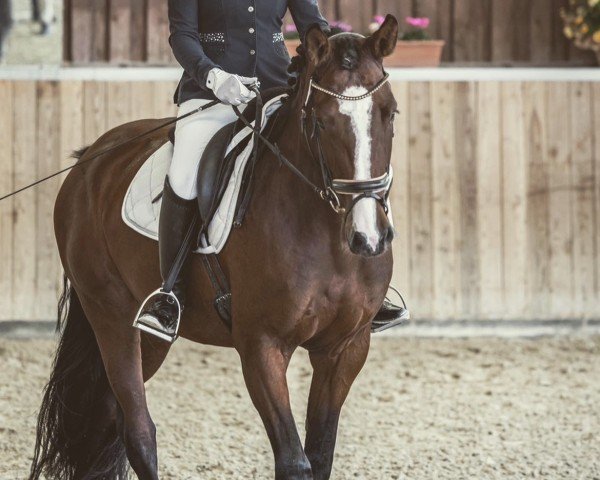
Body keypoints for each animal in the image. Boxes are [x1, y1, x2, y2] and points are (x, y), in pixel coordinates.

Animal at [30, 15, 400, 480]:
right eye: (322, 120)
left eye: (390, 113)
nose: (368, 238)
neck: (327, 235)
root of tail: (89, 160)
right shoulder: (261, 346)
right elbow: (294, 461)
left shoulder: (346, 348)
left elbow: (320, 455)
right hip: (109, 314)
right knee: (139, 431)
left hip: (149, 336)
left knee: (111, 418)